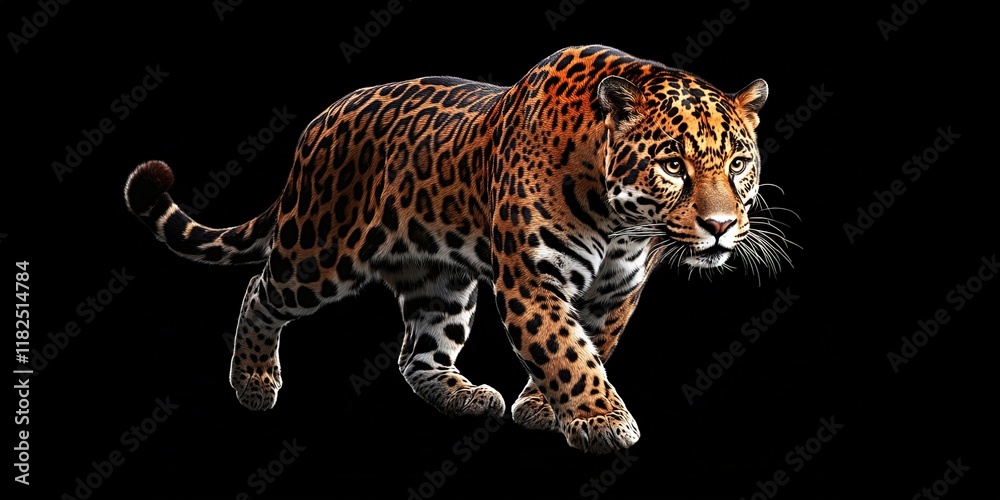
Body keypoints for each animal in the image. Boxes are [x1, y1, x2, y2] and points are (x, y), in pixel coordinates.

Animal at [124, 44, 792, 454]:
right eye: (674, 166)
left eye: (738, 164)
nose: (720, 225)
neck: (618, 219)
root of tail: (320, 121)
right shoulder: (531, 279)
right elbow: (564, 347)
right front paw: (602, 421)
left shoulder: (617, 288)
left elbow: (589, 346)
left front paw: (546, 409)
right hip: (319, 251)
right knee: (259, 291)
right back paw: (255, 383)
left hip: (440, 280)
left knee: (417, 353)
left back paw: (463, 395)